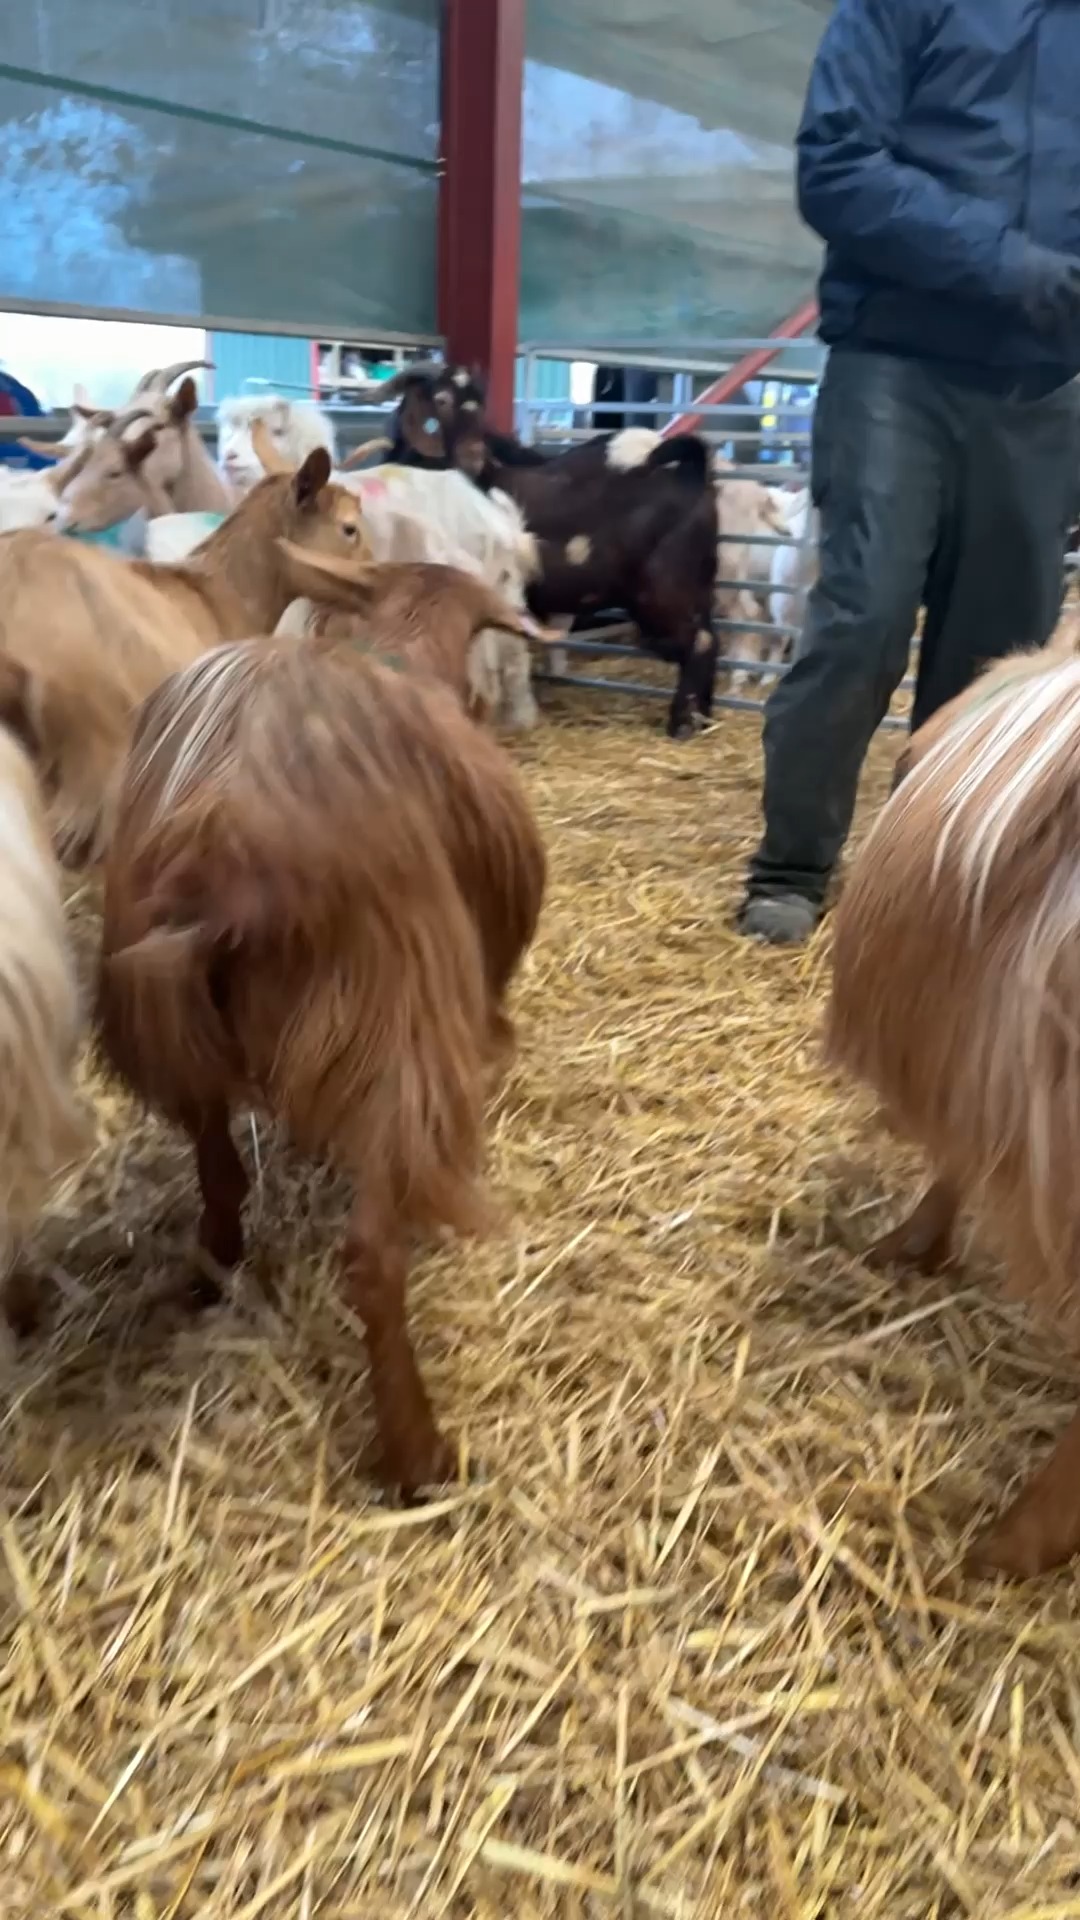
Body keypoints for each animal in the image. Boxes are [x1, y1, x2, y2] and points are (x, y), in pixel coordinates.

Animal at [97, 638, 546, 1495]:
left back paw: (211, 1274)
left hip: (175, 1044)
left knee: (220, 1174)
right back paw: (419, 1459)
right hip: (399, 1040)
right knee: (370, 1255)